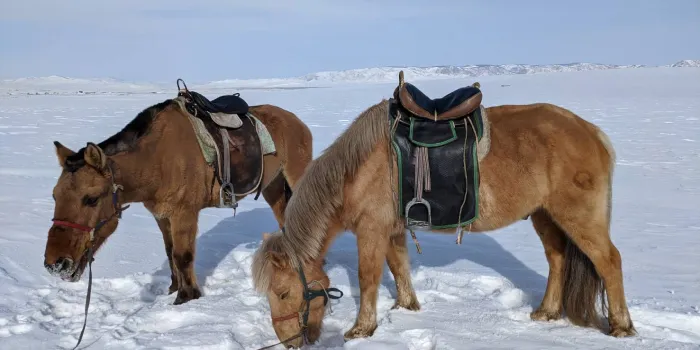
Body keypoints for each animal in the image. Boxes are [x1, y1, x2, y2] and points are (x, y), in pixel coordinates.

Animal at [45, 87, 314, 306]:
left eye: (91, 199)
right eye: (55, 196)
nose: (55, 264)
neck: (156, 159)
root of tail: (296, 120)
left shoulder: (184, 213)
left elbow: (183, 256)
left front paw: (186, 297)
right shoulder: (162, 215)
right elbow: (169, 251)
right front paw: (173, 288)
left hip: (295, 176)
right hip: (272, 186)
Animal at [250, 74, 636, 348]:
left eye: (282, 293)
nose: (289, 343)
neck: (356, 169)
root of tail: (591, 131)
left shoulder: (371, 229)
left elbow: (368, 277)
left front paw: (361, 329)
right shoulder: (392, 229)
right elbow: (399, 268)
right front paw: (407, 309)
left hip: (579, 217)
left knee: (609, 261)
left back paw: (621, 327)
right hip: (545, 215)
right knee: (557, 258)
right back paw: (547, 312)